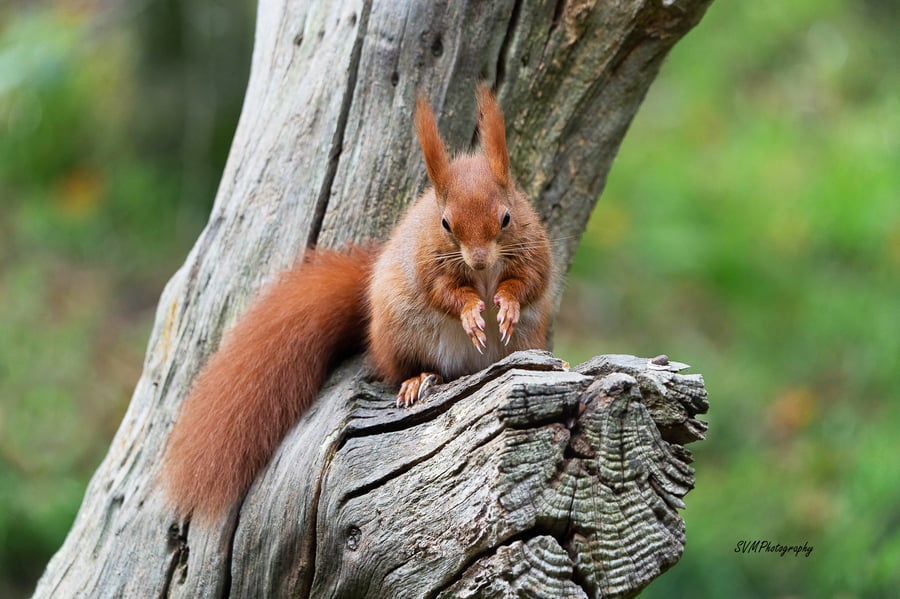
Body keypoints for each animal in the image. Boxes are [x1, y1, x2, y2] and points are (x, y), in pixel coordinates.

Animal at [161, 85, 554, 522]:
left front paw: (507, 305)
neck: (483, 273)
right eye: (446, 224)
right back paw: (419, 379)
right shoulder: (425, 262)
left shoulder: (535, 250)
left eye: (506, 218)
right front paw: (471, 312)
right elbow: (444, 293)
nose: (481, 260)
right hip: (402, 337)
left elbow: (528, 284)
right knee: (403, 369)